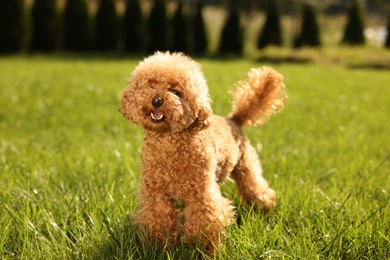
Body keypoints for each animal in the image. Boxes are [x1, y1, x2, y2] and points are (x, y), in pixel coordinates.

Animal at [119, 51, 286, 252]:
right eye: (150, 85)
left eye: (176, 92)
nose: (157, 100)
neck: (169, 145)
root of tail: (234, 120)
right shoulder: (156, 194)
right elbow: (157, 220)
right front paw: (157, 247)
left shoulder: (202, 195)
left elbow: (205, 222)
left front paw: (204, 249)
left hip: (246, 165)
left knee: (256, 187)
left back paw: (266, 208)